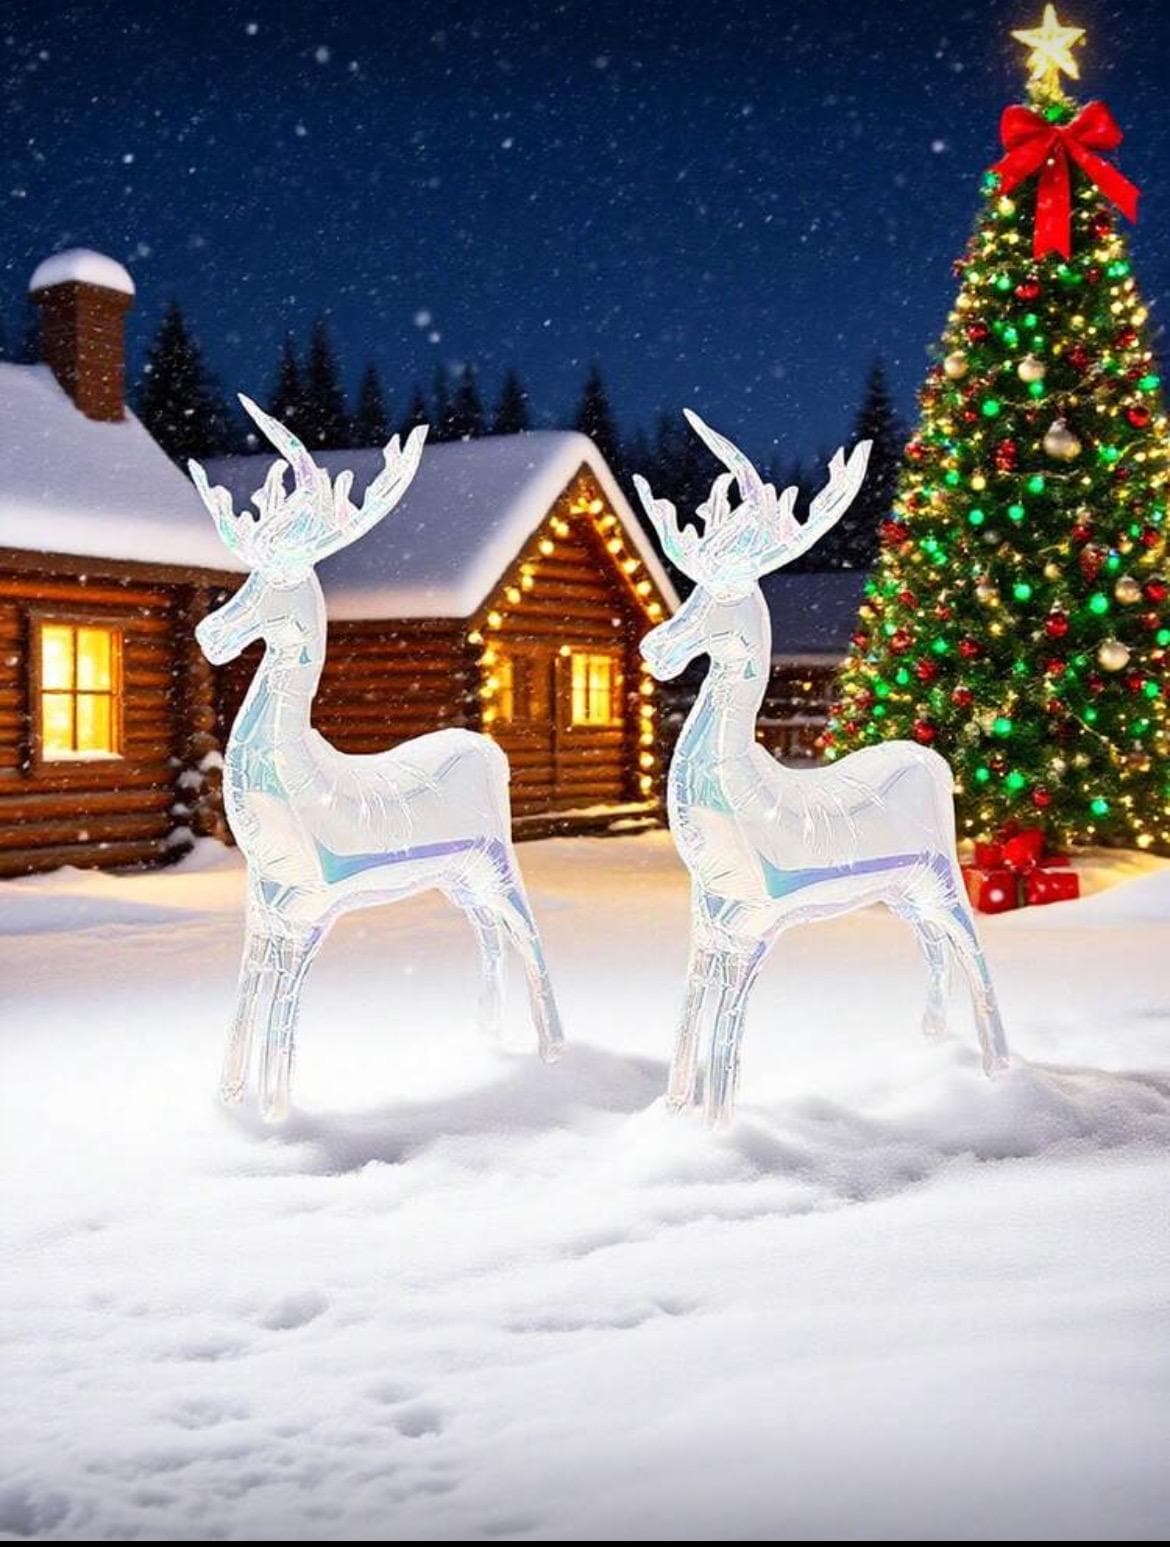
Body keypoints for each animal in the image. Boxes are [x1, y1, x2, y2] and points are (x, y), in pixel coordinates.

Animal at [189, 395, 563, 1123]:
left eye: (278, 578)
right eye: (245, 575)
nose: (209, 633)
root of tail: (493, 750)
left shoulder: (312, 906)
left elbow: (285, 1005)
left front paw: (276, 1111)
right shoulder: (263, 906)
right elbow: (249, 993)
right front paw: (227, 1099)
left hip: (499, 857)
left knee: (527, 930)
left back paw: (553, 1050)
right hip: (458, 876)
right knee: (488, 933)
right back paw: (487, 1040)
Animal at [634, 411, 1009, 1125]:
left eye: (726, 591)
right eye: (690, 588)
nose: (653, 648)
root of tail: (935, 760)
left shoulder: (755, 926)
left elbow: (726, 1041)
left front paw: (718, 1126)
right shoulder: (708, 926)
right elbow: (687, 1024)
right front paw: (671, 1116)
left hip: (944, 873)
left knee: (973, 949)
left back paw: (999, 1068)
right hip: (903, 890)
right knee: (933, 949)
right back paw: (930, 1046)